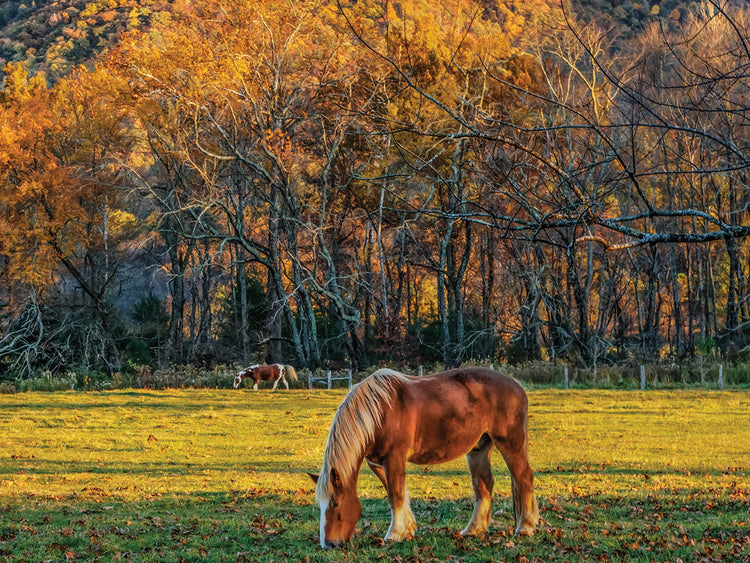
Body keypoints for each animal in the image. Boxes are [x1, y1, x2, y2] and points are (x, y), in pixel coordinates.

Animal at [308, 367, 539, 548]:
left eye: (336, 503)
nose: (329, 544)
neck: (380, 411)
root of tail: (517, 386)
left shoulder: (394, 458)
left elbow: (396, 495)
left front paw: (394, 534)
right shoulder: (378, 462)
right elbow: (397, 492)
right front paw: (408, 529)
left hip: (510, 442)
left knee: (524, 477)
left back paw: (526, 527)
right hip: (478, 449)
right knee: (483, 485)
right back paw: (473, 530)